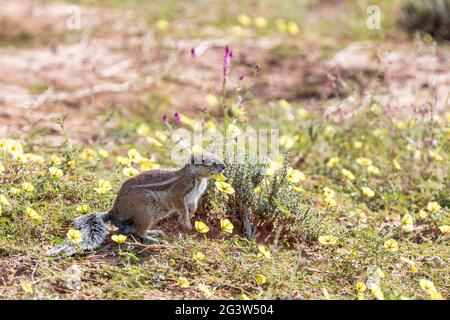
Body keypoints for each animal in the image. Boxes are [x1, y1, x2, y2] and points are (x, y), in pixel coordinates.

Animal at [46, 152, 225, 255]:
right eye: (209, 162)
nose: (224, 166)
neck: (197, 178)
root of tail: (114, 213)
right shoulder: (178, 192)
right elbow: (180, 207)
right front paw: (187, 223)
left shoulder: (195, 196)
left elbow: (192, 205)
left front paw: (192, 214)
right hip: (145, 209)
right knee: (139, 231)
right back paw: (153, 238)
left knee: (128, 229)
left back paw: (154, 232)